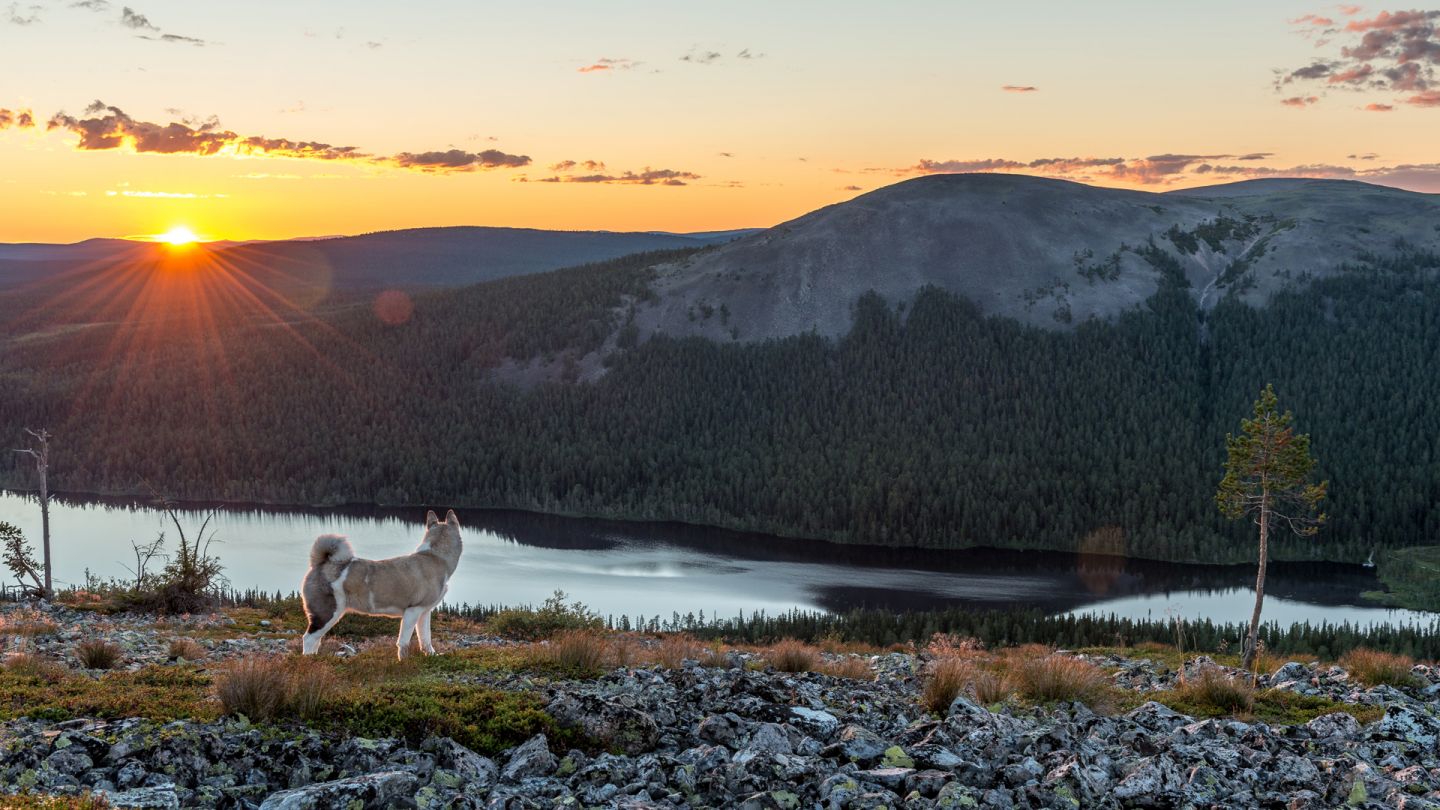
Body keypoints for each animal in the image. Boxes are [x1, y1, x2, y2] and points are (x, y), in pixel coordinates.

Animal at [300, 507, 463, 660]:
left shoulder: (424, 611)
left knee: (316, 640)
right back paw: (309, 661)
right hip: (327, 612)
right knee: (309, 638)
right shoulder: (412, 611)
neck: (435, 556)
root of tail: (321, 563)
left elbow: (425, 638)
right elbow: (403, 642)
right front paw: (404, 662)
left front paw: (432, 655)